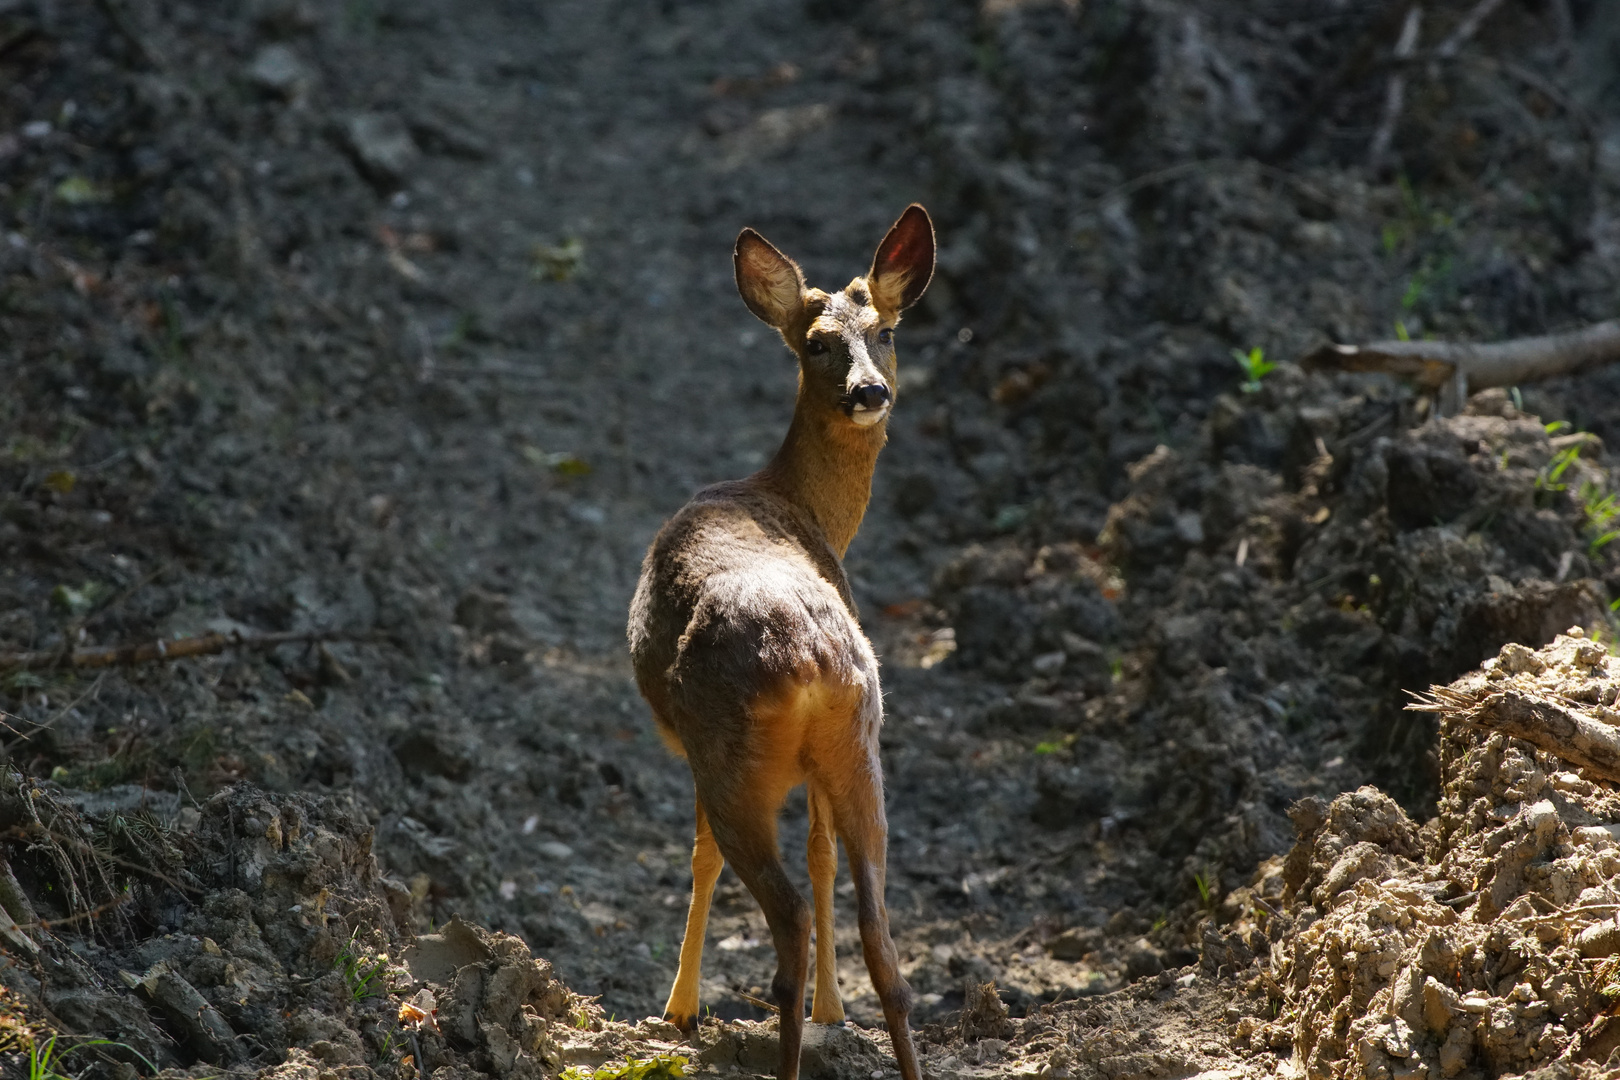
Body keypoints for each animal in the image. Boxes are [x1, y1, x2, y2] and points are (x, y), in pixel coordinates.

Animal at [628, 204, 939, 1080]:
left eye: (887, 330)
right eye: (818, 343)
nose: (870, 391)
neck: (793, 501)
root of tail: (805, 663)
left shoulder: (686, 745)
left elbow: (698, 856)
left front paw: (680, 1008)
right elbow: (823, 853)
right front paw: (836, 1014)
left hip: (731, 753)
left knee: (786, 910)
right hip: (859, 740)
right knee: (881, 930)